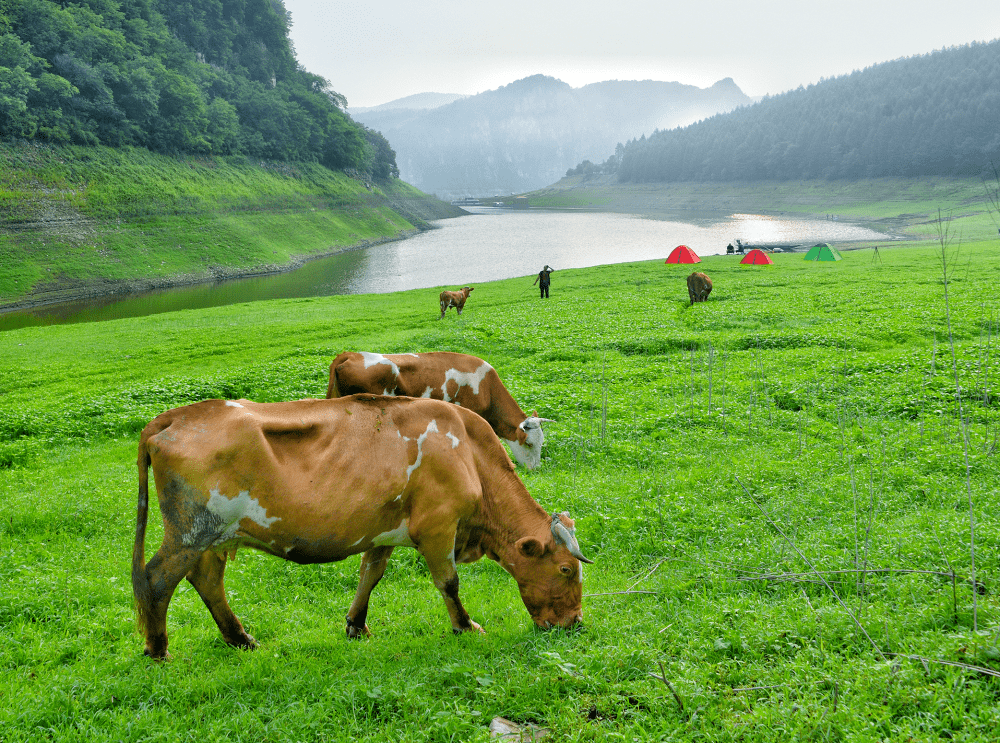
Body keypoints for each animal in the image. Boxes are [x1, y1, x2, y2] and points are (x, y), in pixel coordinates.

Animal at [131, 398, 584, 660]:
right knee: (156, 579)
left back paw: (240, 638)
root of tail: (173, 417)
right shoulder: (438, 527)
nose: (575, 623)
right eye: (566, 569)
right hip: (191, 531)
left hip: (213, 537)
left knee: (206, 579)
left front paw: (356, 625)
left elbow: (371, 573)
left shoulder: (384, 529)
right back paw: (158, 649)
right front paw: (465, 626)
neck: (469, 454)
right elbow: (449, 582)